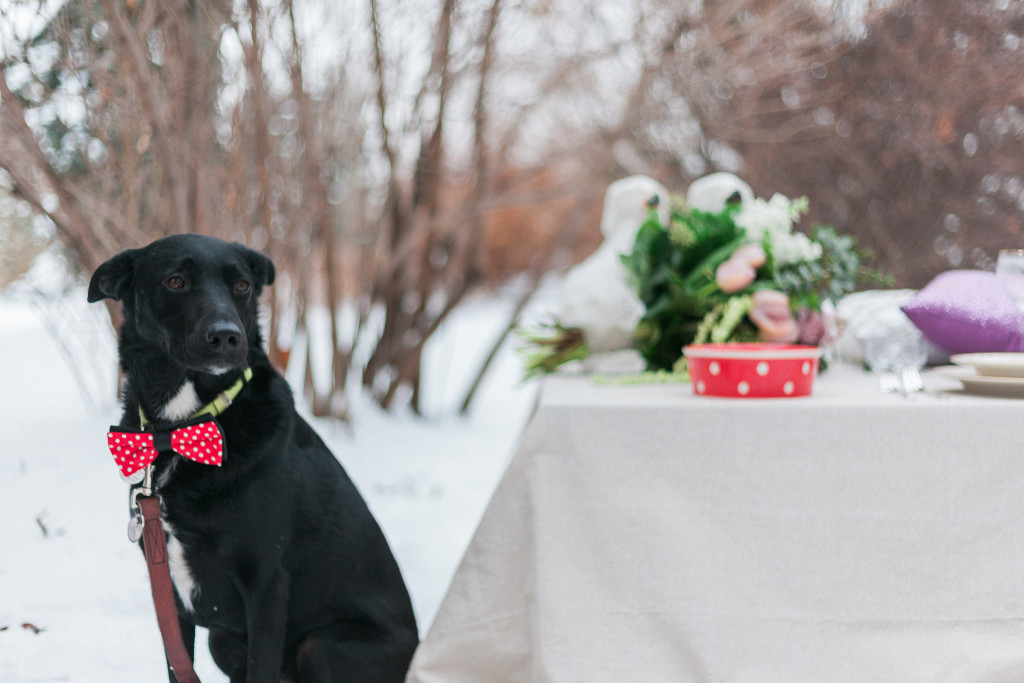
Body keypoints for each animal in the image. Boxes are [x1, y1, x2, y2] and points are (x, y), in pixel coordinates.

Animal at [88, 236, 415, 683]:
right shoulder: (169, 594)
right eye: (175, 281)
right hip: (222, 640)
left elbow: (261, 665)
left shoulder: (266, 585)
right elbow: (178, 666)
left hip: (323, 645)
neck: (181, 427)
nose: (227, 337)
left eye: (242, 285)